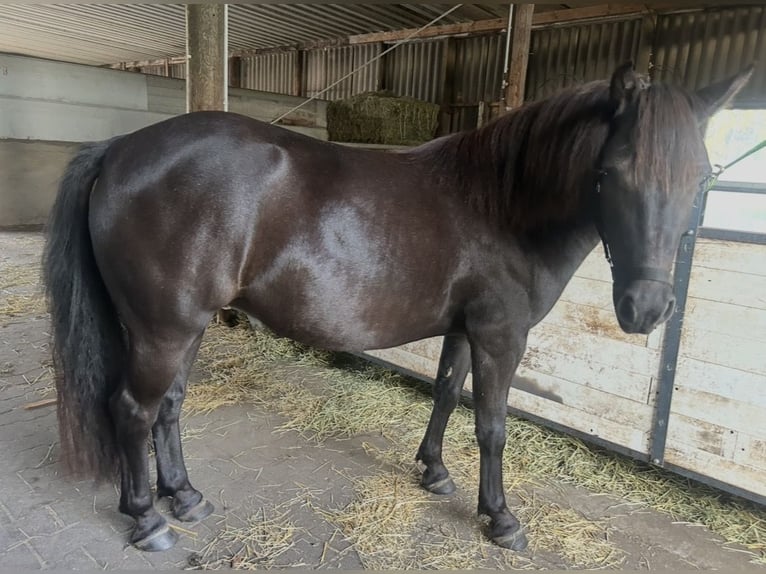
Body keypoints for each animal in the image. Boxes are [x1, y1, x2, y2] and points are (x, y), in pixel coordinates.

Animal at [42, 62, 750, 552]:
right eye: (611, 174)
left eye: (701, 178)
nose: (646, 309)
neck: (501, 203)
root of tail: (120, 150)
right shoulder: (501, 336)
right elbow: (491, 425)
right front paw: (501, 518)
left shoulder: (464, 330)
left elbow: (445, 393)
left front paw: (433, 472)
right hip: (163, 330)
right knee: (132, 410)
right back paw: (147, 519)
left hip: (183, 329)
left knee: (166, 408)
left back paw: (184, 497)